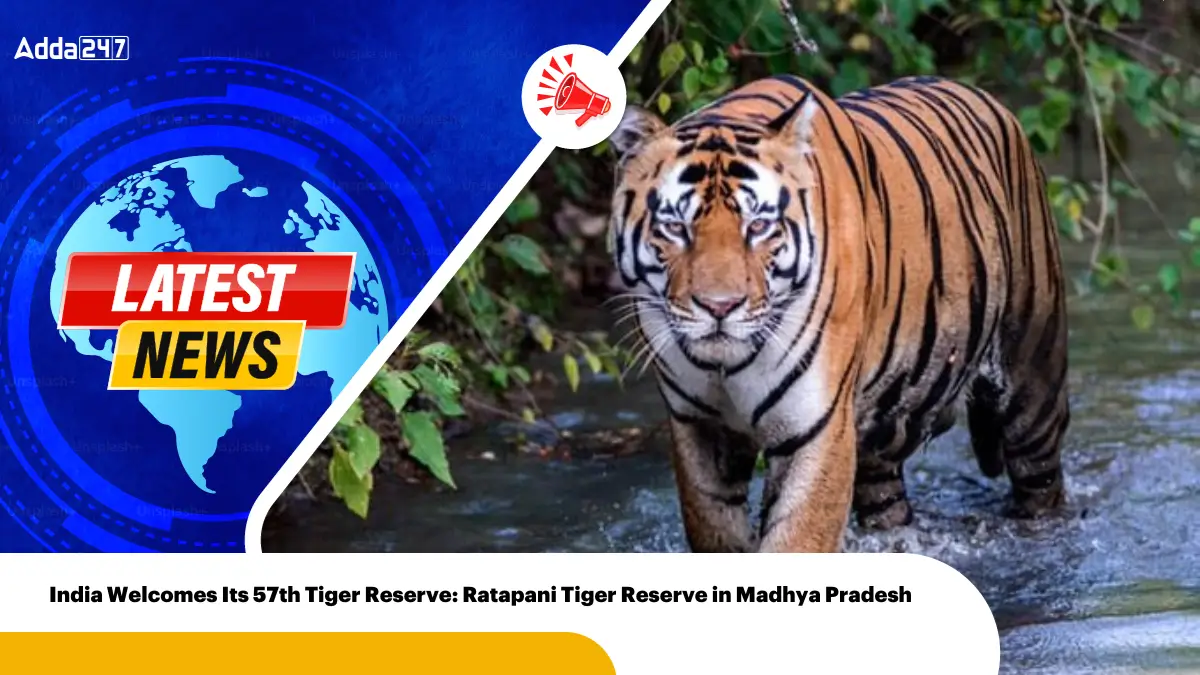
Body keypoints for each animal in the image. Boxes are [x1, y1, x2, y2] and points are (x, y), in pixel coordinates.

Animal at [607, 74, 1070, 553]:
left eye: (759, 226)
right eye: (675, 228)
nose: (720, 306)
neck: (725, 364)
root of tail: (981, 95)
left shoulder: (816, 427)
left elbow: (796, 539)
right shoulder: (698, 426)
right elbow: (716, 529)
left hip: (1032, 383)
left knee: (1039, 479)